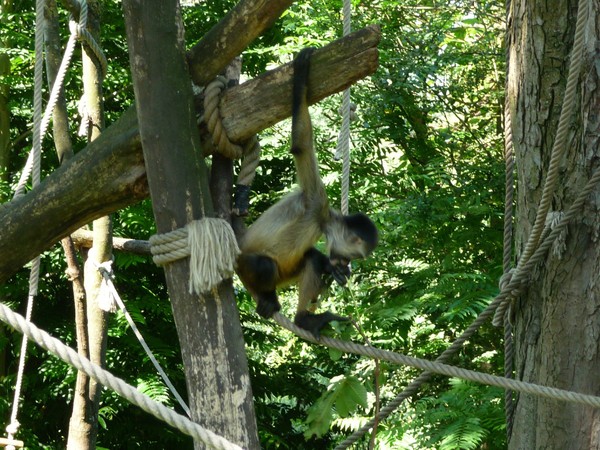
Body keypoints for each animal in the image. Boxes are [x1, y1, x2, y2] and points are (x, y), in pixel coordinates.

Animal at [237, 48, 378, 338]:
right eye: (356, 255)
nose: (344, 262)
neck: (323, 220)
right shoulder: (316, 198)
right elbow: (301, 145)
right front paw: (301, 71)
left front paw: (336, 271)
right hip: (247, 268)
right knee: (265, 266)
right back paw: (292, 312)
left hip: (285, 273)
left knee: (310, 258)